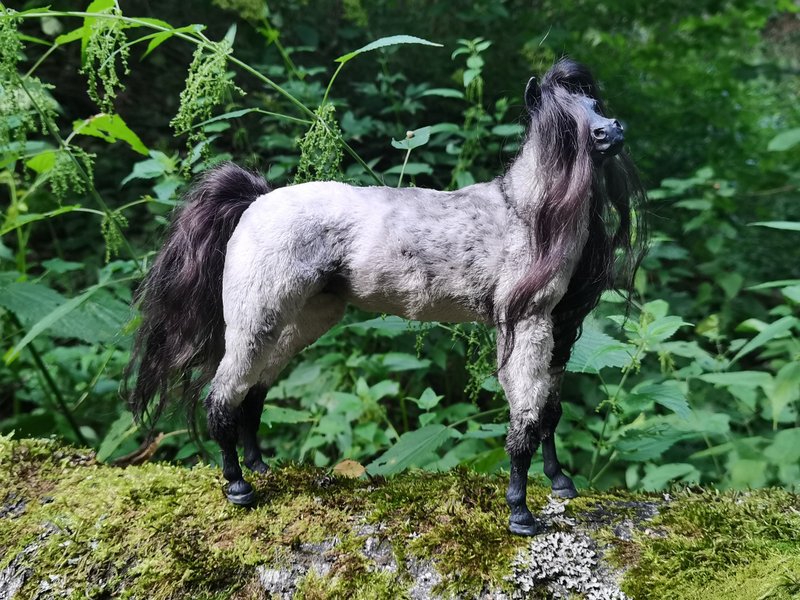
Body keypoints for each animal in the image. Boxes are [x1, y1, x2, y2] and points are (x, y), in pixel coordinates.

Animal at [125, 58, 646, 536]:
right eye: (563, 124)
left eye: (594, 104)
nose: (613, 130)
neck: (526, 214)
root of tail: (255, 199)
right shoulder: (525, 324)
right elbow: (527, 419)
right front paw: (520, 513)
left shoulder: (559, 327)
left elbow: (550, 413)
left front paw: (561, 483)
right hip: (255, 321)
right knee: (222, 396)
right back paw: (238, 486)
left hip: (302, 319)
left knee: (253, 392)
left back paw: (260, 468)